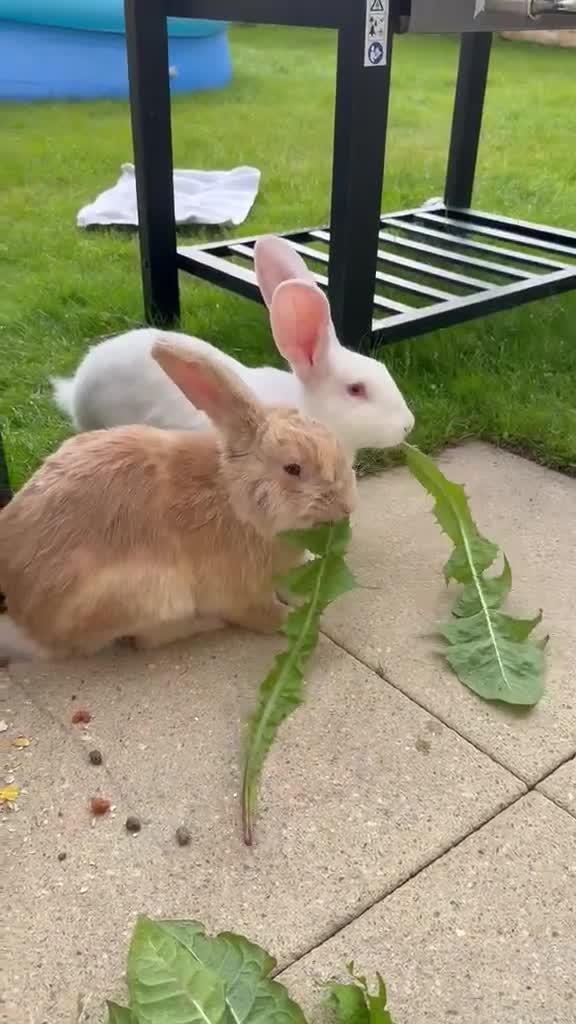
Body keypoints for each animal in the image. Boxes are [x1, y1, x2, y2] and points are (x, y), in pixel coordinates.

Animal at [0, 338, 356, 662]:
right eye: (293, 468)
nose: (346, 506)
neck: (235, 498)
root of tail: (31, 625)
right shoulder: (240, 590)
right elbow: (260, 612)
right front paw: (289, 619)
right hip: (154, 596)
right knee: (144, 639)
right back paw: (206, 624)